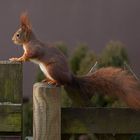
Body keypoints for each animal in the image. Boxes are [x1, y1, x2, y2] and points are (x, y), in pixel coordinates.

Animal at [9, 13, 140, 109]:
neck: (28, 41)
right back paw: (49, 80)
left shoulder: (34, 49)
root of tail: (71, 77)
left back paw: (55, 82)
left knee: (63, 83)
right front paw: (16, 58)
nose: (12, 40)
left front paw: (18, 58)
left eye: (18, 35)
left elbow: (29, 55)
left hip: (52, 69)